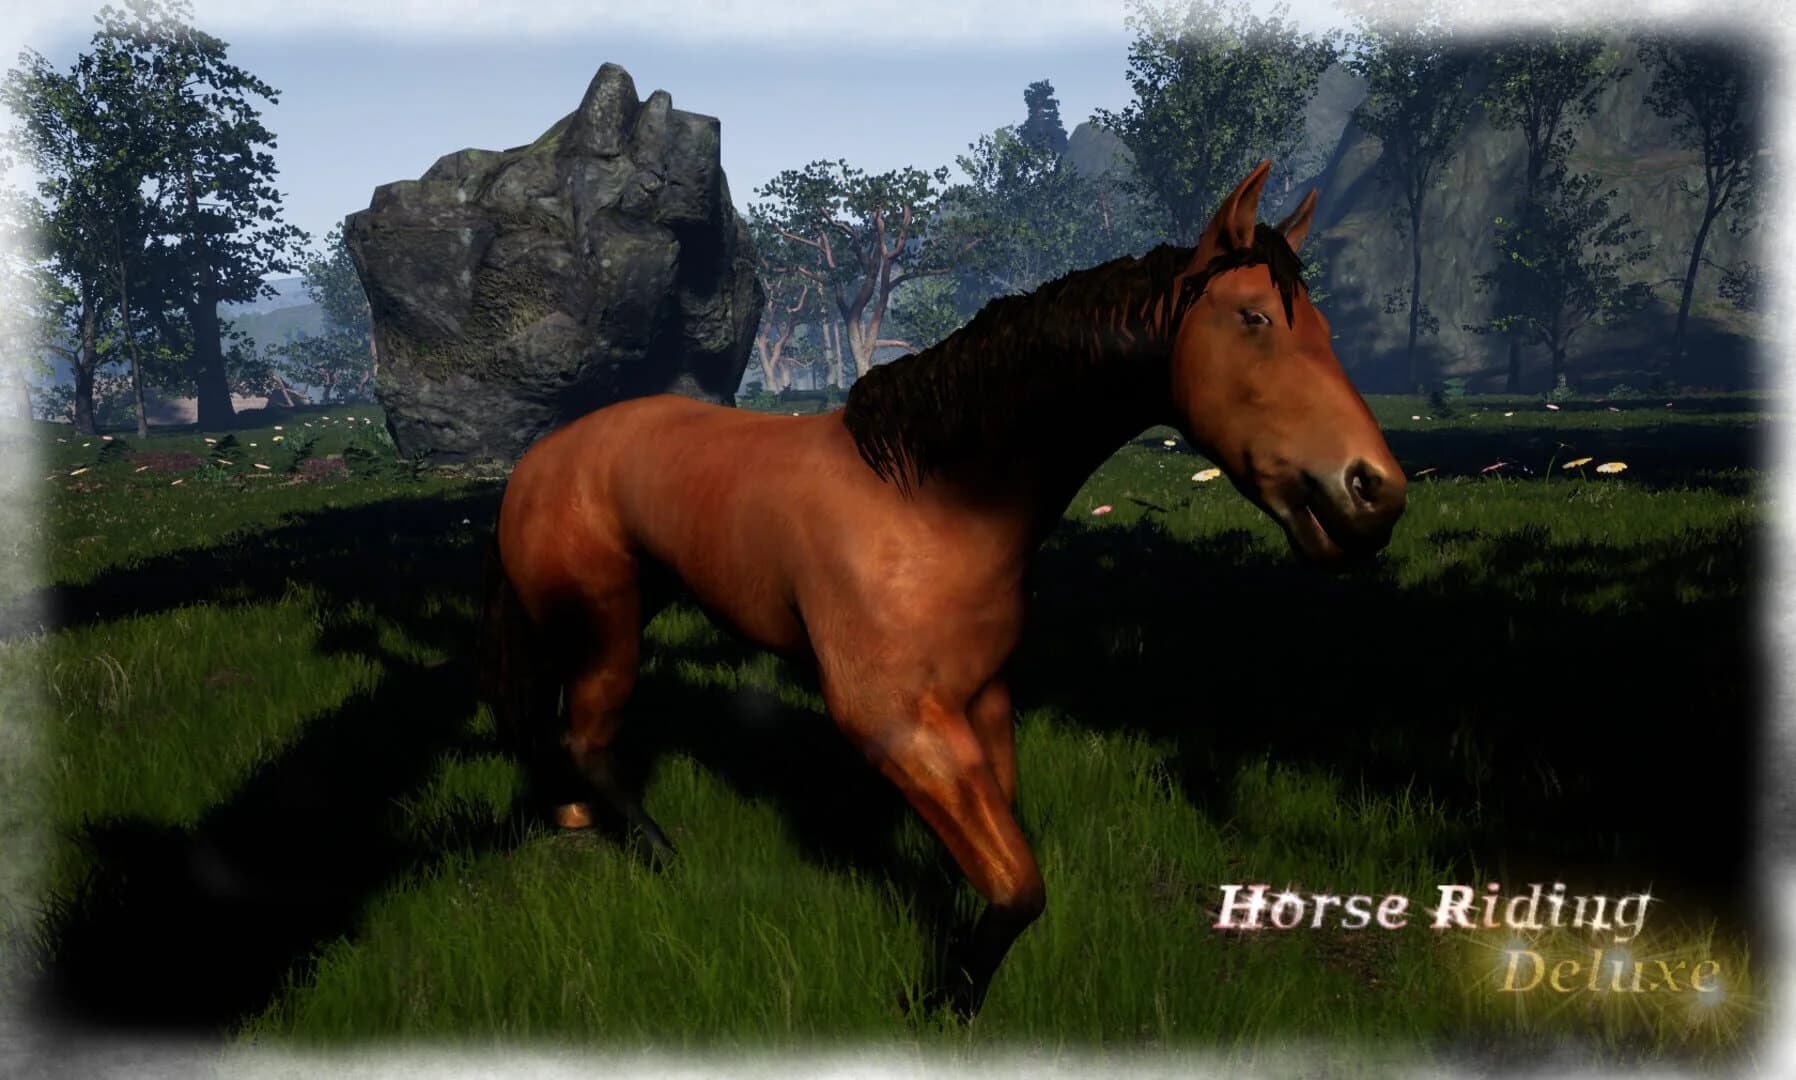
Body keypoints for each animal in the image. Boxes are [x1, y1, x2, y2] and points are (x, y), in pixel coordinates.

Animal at [478, 160, 1407, 1019]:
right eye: (1254, 319)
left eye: (1322, 326)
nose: (1374, 492)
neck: (927, 501)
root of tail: (539, 459)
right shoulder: (895, 723)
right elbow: (1019, 884)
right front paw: (940, 1001)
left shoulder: (983, 700)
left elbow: (1002, 860)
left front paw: (958, 970)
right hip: (606, 623)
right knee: (585, 738)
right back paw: (660, 854)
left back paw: (575, 820)